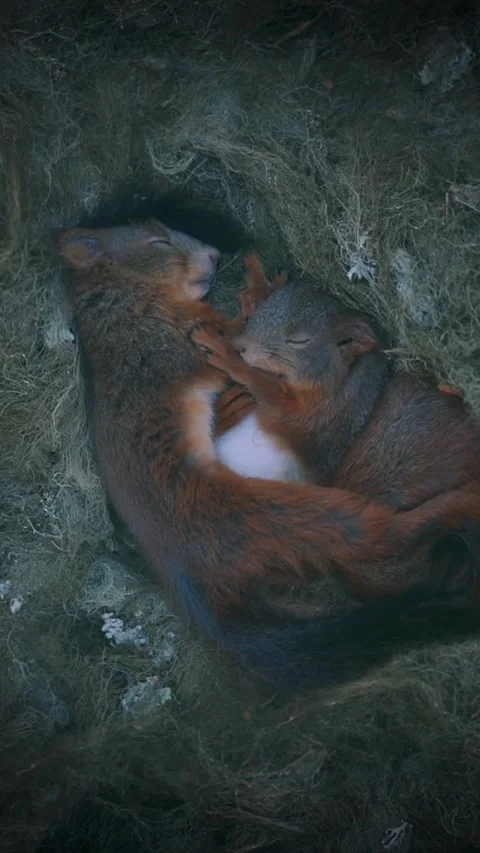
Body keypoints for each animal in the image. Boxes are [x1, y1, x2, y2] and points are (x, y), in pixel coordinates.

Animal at [194, 257, 480, 604]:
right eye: (263, 310)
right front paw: (256, 288)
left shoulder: (319, 423)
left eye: (299, 340)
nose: (239, 345)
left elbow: (268, 389)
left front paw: (226, 354)